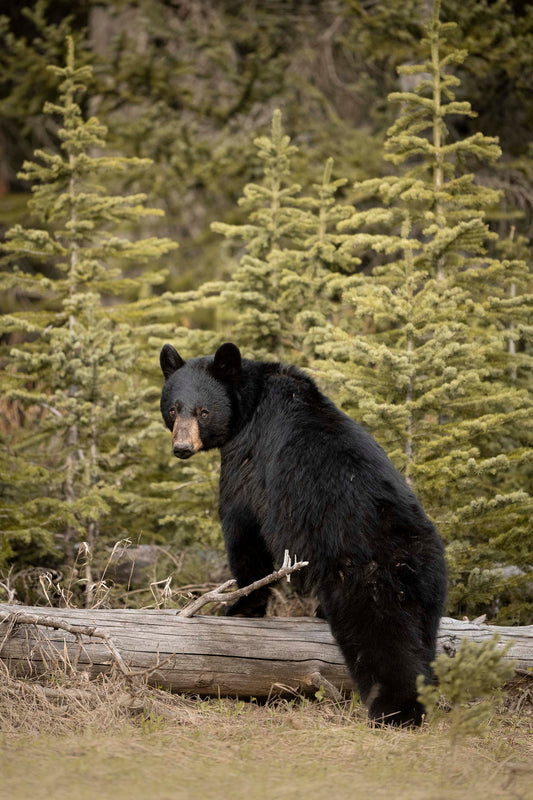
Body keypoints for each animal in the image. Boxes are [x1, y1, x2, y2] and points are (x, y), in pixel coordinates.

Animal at [160, 341, 447, 726]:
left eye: (204, 412)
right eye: (173, 408)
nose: (182, 448)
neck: (251, 402)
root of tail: (406, 547)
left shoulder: (247, 462)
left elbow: (245, 533)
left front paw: (240, 606)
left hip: (362, 577)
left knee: (383, 640)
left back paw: (394, 710)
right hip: (429, 587)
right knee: (423, 641)